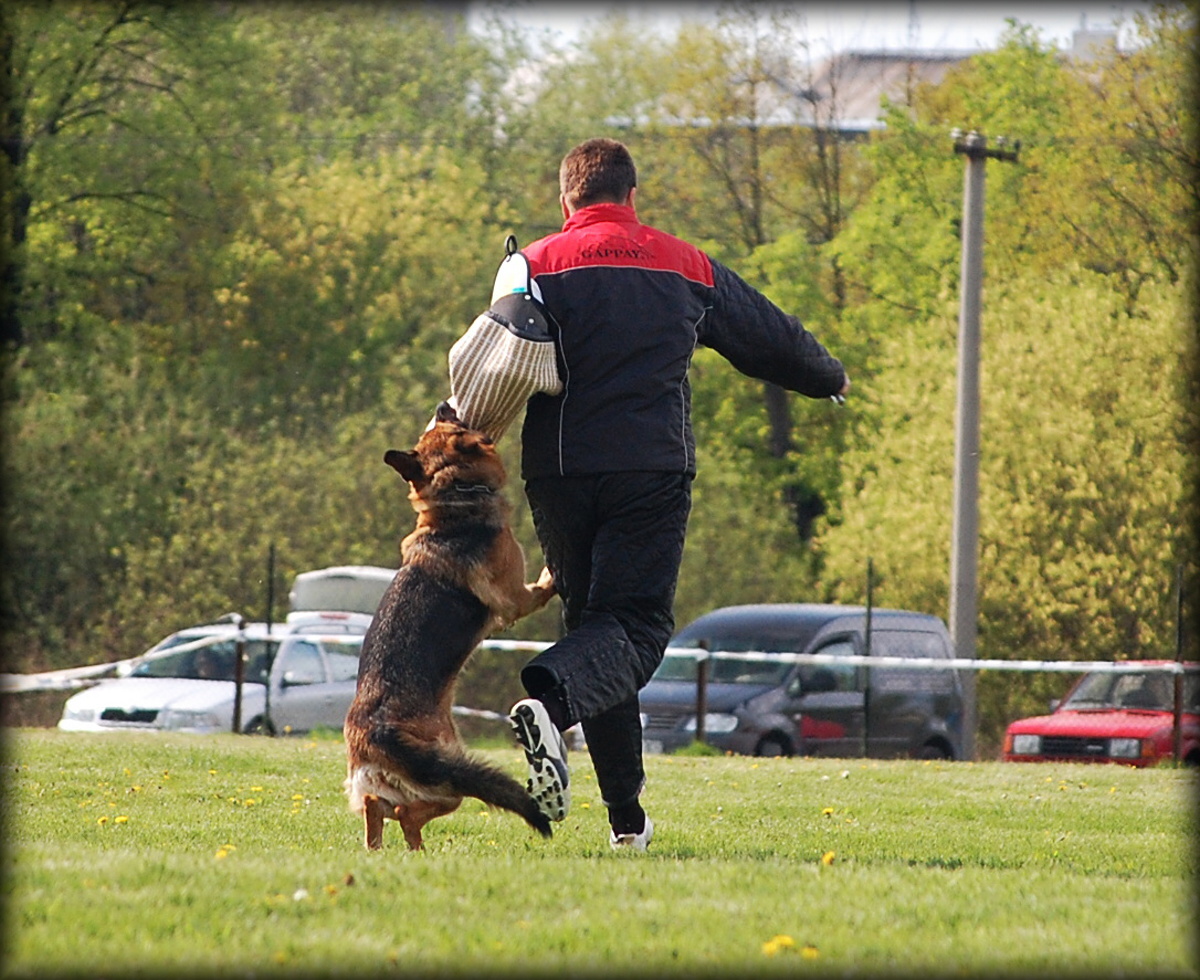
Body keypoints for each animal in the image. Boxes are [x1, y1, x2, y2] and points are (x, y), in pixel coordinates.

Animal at [345, 400, 554, 844]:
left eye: (442, 422)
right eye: (453, 426)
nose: (444, 404)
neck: (455, 498)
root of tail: (370, 736)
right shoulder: (515, 599)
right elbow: (545, 585)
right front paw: (556, 573)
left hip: (399, 785)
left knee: (378, 807)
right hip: (447, 777)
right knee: (406, 812)